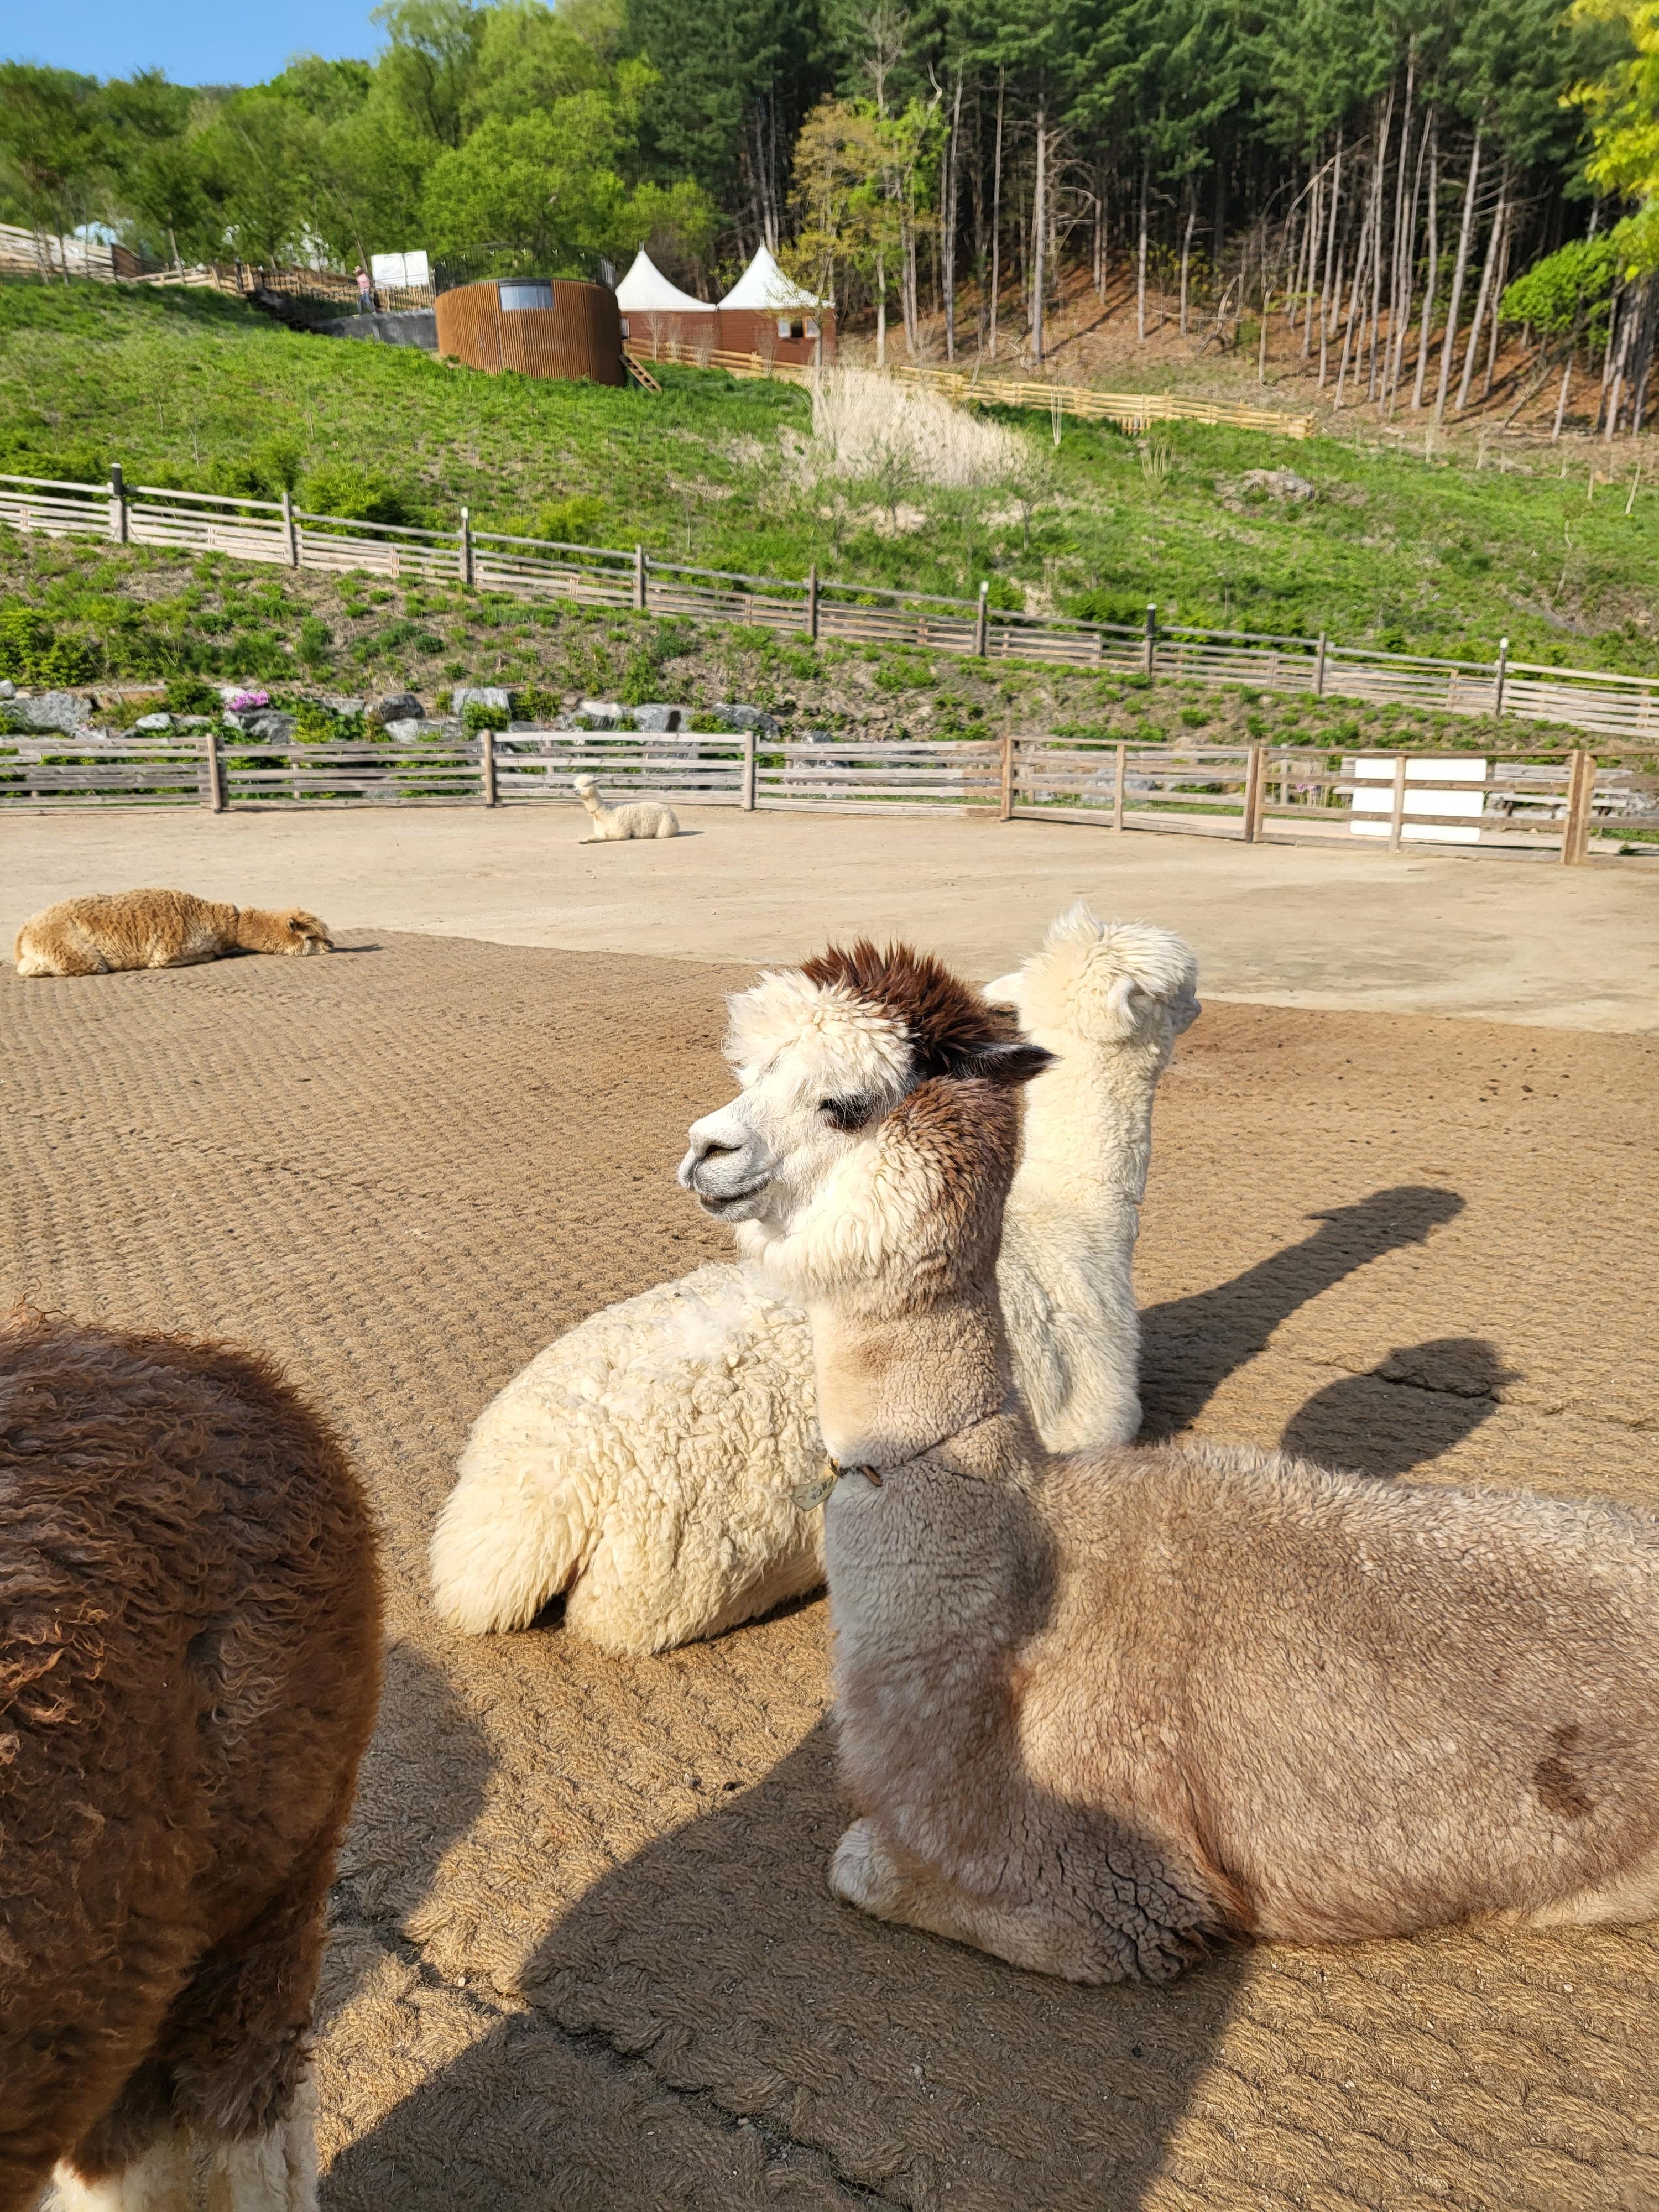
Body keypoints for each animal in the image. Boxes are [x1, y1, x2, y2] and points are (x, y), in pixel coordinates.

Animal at [14, 890, 333, 977]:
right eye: (310, 937)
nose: (331, 945)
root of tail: (23, 932)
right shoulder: (166, 954)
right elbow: (208, 955)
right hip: (77, 951)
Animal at [429, 908, 1198, 1655]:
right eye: (1182, 985)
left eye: (840, 1101)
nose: (705, 1149)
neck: (1070, 1227)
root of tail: (524, 1516)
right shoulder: (1092, 1427)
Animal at [573, 774, 680, 841]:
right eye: (576, 785)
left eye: (586, 785)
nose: (575, 791)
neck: (607, 813)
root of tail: (672, 813)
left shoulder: (621, 832)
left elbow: (604, 835)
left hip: (665, 827)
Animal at [678, 941, 1659, 1983]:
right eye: (749, 1070)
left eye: (846, 1103)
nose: (705, 1149)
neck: (1008, 1561)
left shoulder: (1119, 1884)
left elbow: (859, 1863)